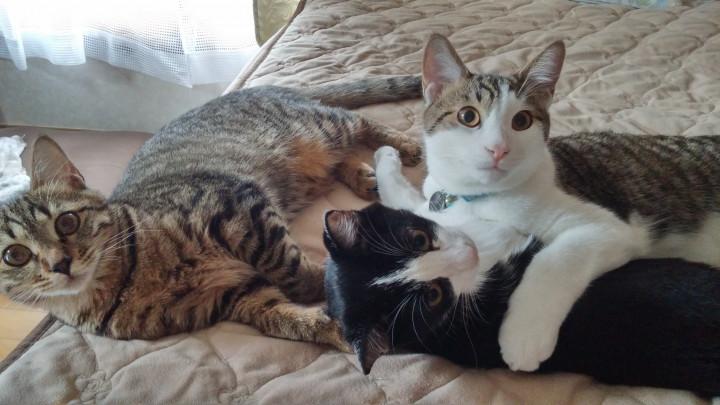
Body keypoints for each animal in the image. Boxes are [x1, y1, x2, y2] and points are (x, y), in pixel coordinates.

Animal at [0, 77, 424, 349]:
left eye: (67, 221)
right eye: (14, 255)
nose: (60, 263)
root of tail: (268, 87)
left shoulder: (239, 207)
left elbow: (294, 273)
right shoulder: (234, 297)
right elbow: (282, 316)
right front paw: (334, 326)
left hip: (318, 129)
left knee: (356, 121)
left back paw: (404, 144)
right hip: (312, 162)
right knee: (338, 162)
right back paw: (365, 176)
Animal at [374, 33, 720, 371]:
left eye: (522, 121)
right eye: (468, 116)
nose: (498, 149)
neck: (476, 198)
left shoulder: (610, 229)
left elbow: (554, 258)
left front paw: (523, 337)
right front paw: (384, 158)